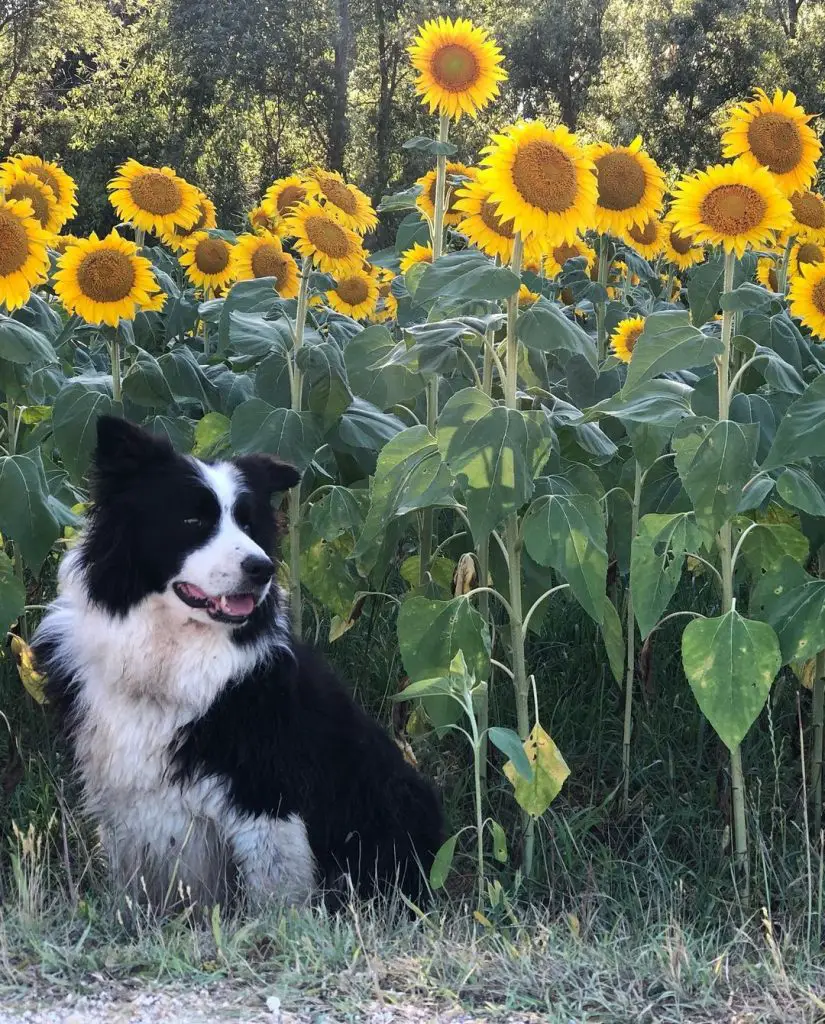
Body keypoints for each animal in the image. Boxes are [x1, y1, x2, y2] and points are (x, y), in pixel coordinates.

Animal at [34, 415, 446, 913]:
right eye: (193, 519)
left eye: (249, 524)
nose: (261, 568)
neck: (168, 654)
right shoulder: (121, 792)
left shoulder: (264, 786)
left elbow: (275, 883)